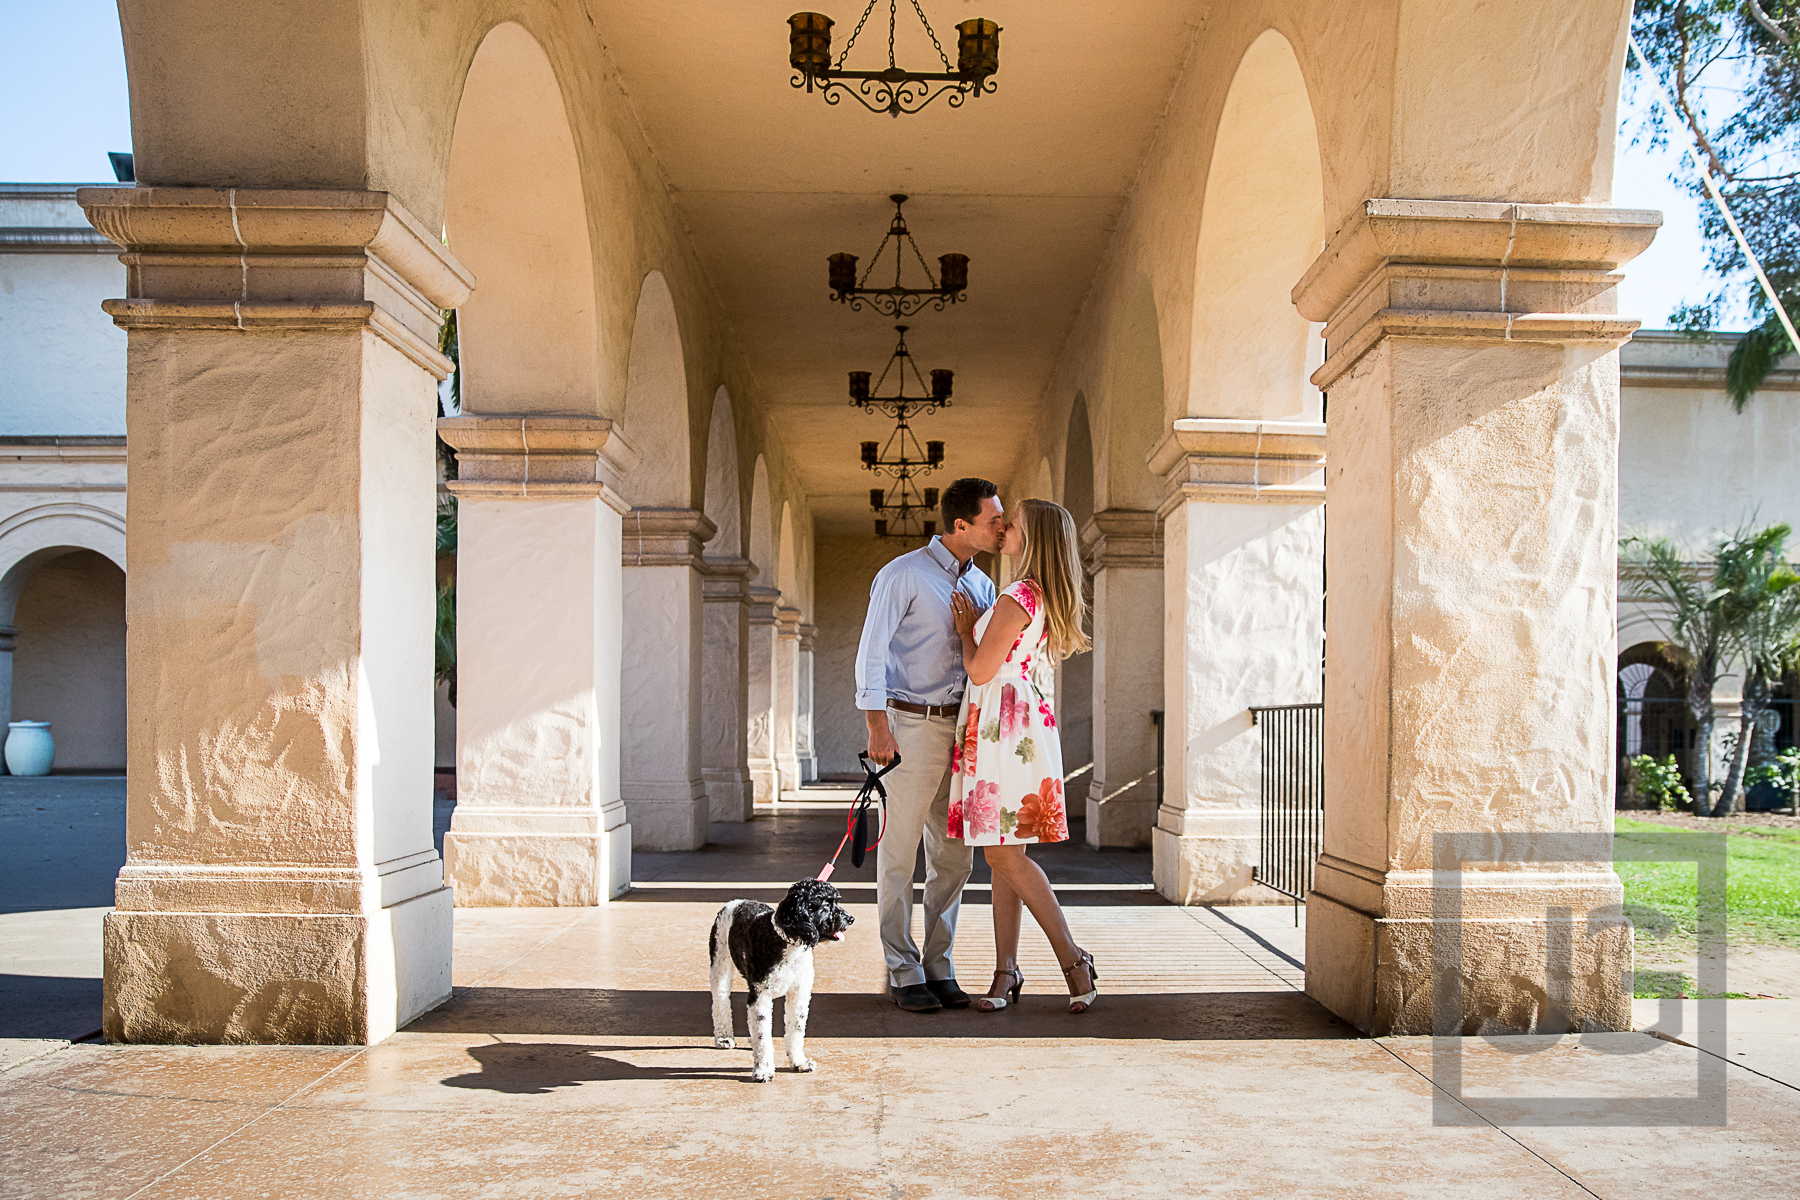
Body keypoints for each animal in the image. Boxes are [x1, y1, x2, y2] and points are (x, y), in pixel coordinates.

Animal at [709, 877, 856, 1086]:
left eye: (836, 900)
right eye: (826, 904)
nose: (850, 919)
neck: (788, 942)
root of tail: (734, 902)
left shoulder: (799, 994)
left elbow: (795, 1030)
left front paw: (799, 1062)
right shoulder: (760, 996)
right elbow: (763, 1036)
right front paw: (763, 1070)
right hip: (719, 964)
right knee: (720, 1003)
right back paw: (723, 1037)